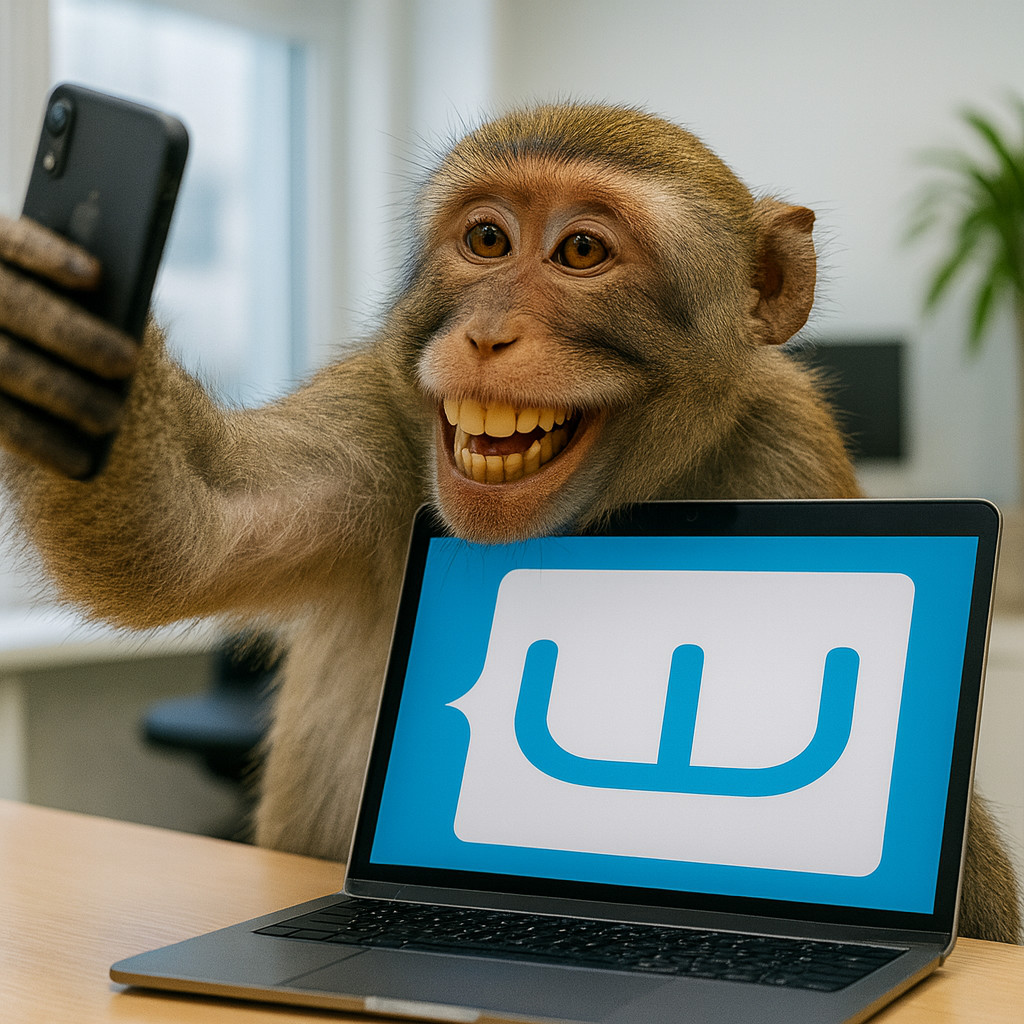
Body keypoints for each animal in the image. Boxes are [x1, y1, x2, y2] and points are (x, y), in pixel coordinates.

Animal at [0, 103, 1019, 943]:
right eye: (487, 238)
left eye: (581, 253)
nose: (487, 333)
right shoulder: (379, 421)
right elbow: (186, 526)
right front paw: (45, 322)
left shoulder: (786, 448)